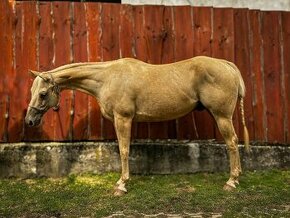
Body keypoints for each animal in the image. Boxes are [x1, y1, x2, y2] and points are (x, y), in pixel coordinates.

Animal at [24, 56, 249, 196]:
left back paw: (231, 181)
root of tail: (226, 64)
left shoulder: (123, 118)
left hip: (222, 116)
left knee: (232, 143)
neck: (107, 78)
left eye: (42, 94)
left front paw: (121, 185)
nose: (30, 121)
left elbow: (124, 150)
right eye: (32, 91)